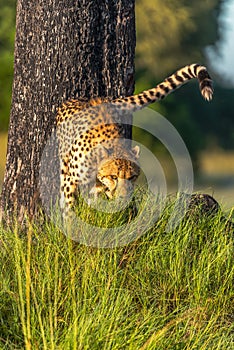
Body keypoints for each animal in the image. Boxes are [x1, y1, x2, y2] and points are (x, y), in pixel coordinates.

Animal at [56, 62, 214, 216]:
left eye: (132, 177)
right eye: (114, 176)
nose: (123, 196)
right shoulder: (71, 180)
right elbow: (70, 207)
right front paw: (69, 221)